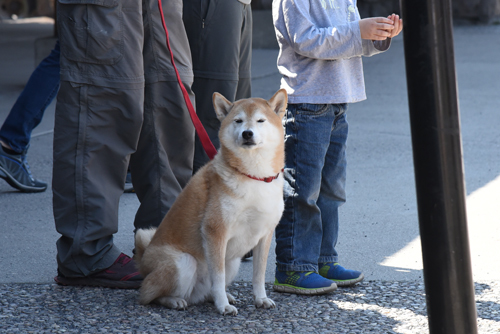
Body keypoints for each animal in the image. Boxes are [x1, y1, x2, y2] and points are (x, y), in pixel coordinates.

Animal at [135, 88, 288, 316]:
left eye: (260, 120)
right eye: (238, 121)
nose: (247, 133)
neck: (254, 176)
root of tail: (143, 261)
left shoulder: (265, 233)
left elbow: (258, 274)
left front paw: (261, 298)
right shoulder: (216, 231)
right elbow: (218, 277)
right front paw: (222, 305)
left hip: (233, 262)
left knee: (203, 291)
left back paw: (215, 297)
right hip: (184, 262)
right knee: (148, 295)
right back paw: (174, 300)